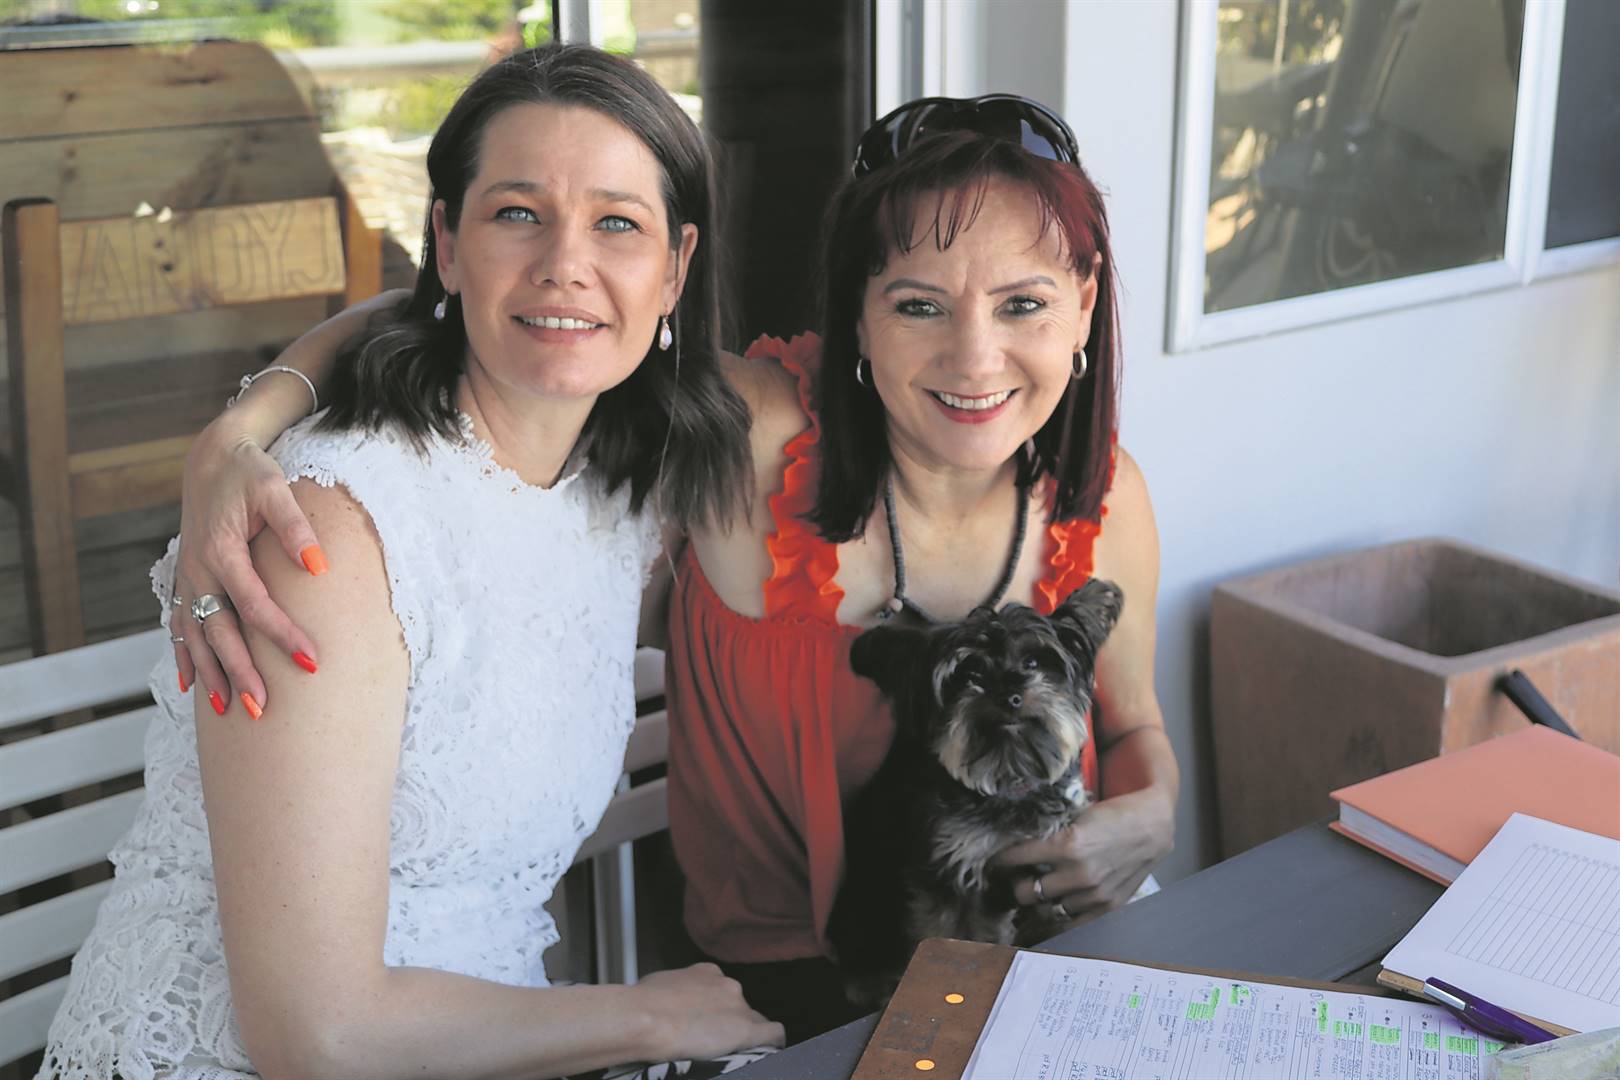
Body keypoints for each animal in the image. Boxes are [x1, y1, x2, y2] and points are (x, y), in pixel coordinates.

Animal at [827, 577, 1124, 1007]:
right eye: (969, 673)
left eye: (1034, 662)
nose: (1009, 695)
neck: (1010, 781)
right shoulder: (949, 875)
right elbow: (962, 935)